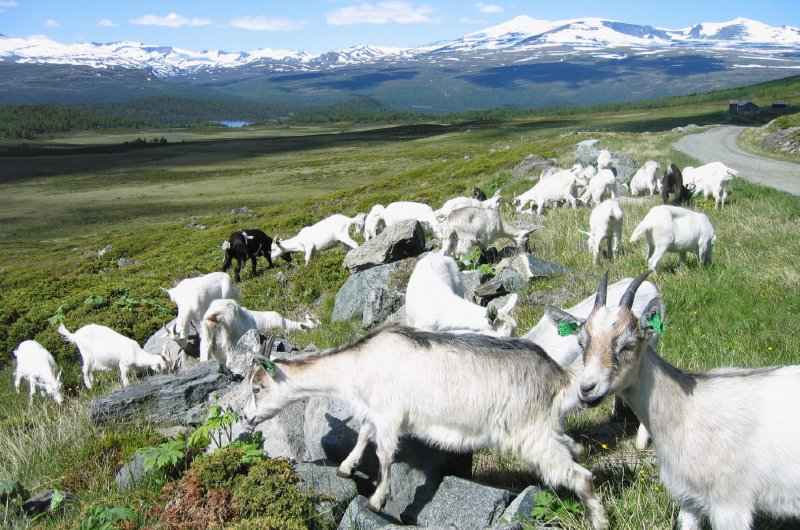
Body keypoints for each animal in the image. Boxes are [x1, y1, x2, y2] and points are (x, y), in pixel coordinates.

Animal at [243, 327, 609, 530]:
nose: (246, 418)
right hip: (547, 430)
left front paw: (376, 501)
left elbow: (385, 454)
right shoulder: (376, 411)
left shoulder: (390, 414)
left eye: (257, 388)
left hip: (530, 434)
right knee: (574, 450)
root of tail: (558, 377)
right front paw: (346, 468)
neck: (358, 366)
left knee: (581, 477)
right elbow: (363, 433)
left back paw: (600, 522)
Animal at [550, 270, 800, 529]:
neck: (686, 409)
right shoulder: (690, 499)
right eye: (581, 343)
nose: (587, 388)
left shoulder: (730, 504)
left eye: (629, 345)